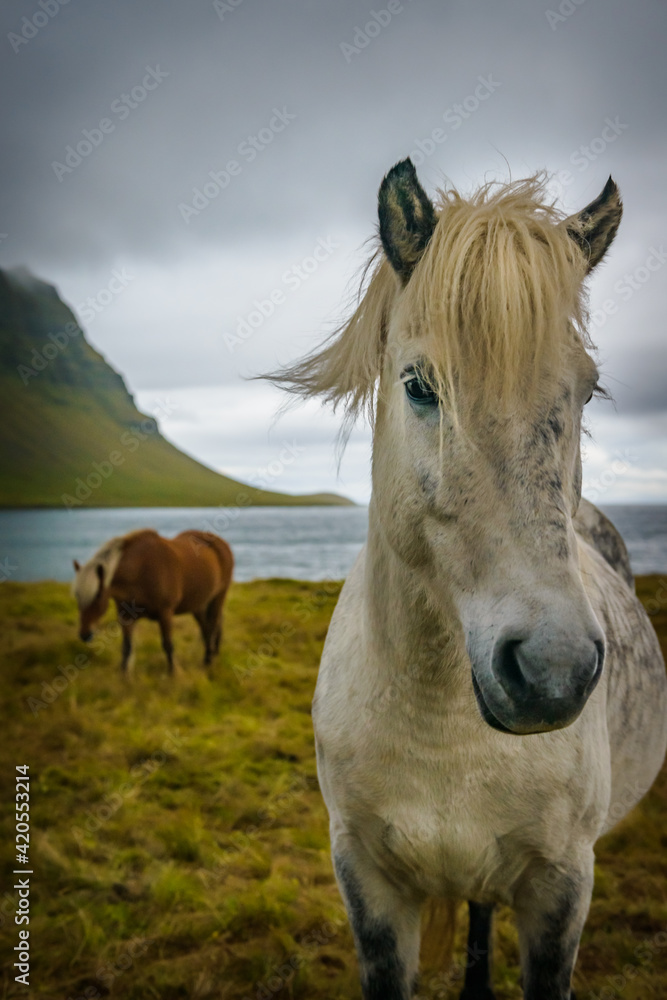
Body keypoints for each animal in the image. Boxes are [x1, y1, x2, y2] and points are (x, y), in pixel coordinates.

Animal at [72, 529, 233, 674]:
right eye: (77, 595)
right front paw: (124, 679)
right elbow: (126, 648)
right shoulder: (126, 617)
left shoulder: (165, 613)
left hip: (218, 597)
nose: (85, 634)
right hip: (198, 604)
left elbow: (168, 645)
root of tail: (222, 544)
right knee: (206, 628)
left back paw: (208, 661)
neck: (140, 571)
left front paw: (173, 675)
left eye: (98, 594)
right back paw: (211, 656)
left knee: (212, 626)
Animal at [269, 160, 667, 999]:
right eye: (420, 386)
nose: (551, 672)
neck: (440, 726)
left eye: (586, 390)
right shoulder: (368, 885)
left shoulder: (559, 888)